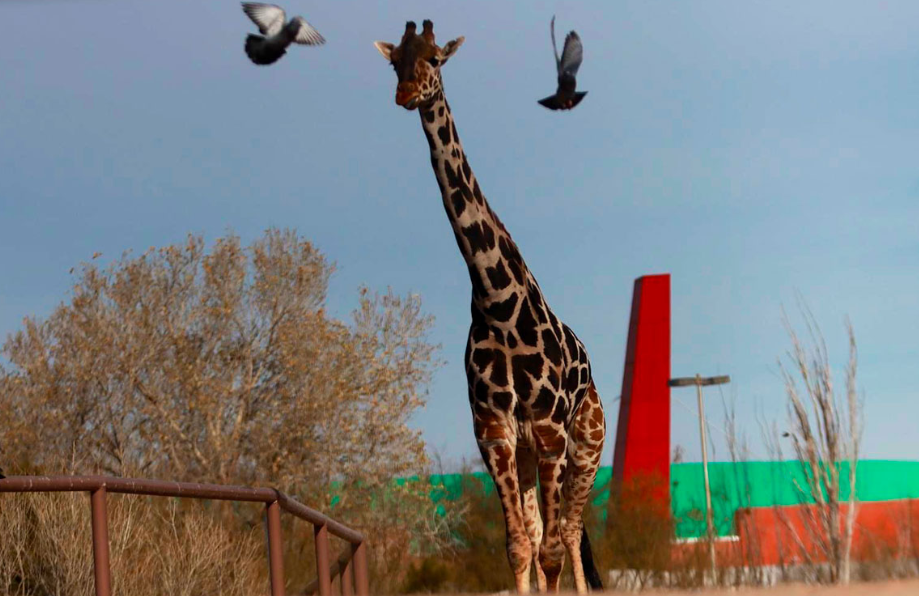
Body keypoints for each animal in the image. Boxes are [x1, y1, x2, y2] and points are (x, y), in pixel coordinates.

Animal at [378, 22, 608, 592]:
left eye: (435, 59)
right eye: (395, 61)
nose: (406, 93)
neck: (498, 302)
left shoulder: (549, 430)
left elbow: (551, 550)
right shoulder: (495, 433)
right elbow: (520, 547)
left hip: (587, 445)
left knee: (571, 532)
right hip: (528, 454)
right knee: (548, 530)